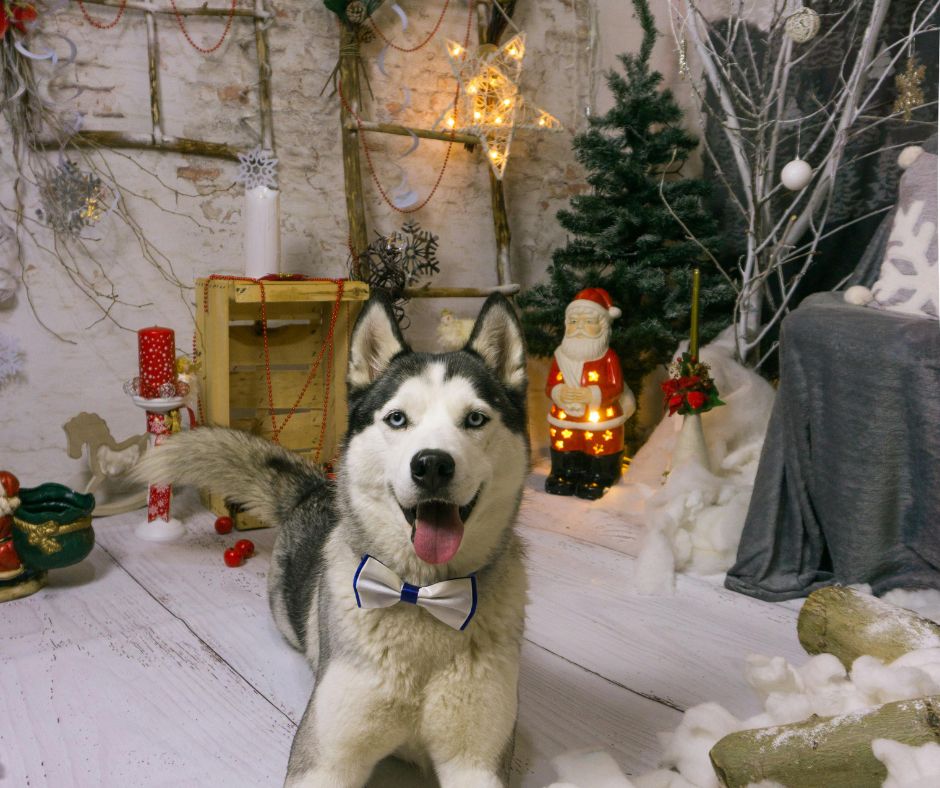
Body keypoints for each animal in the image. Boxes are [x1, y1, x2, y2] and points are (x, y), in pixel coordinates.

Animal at [140, 292, 536, 784]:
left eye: (476, 418)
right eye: (397, 418)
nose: (432, 465)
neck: (421, 594)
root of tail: (315, 488)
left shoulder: (476, 762)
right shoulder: (325, 761)